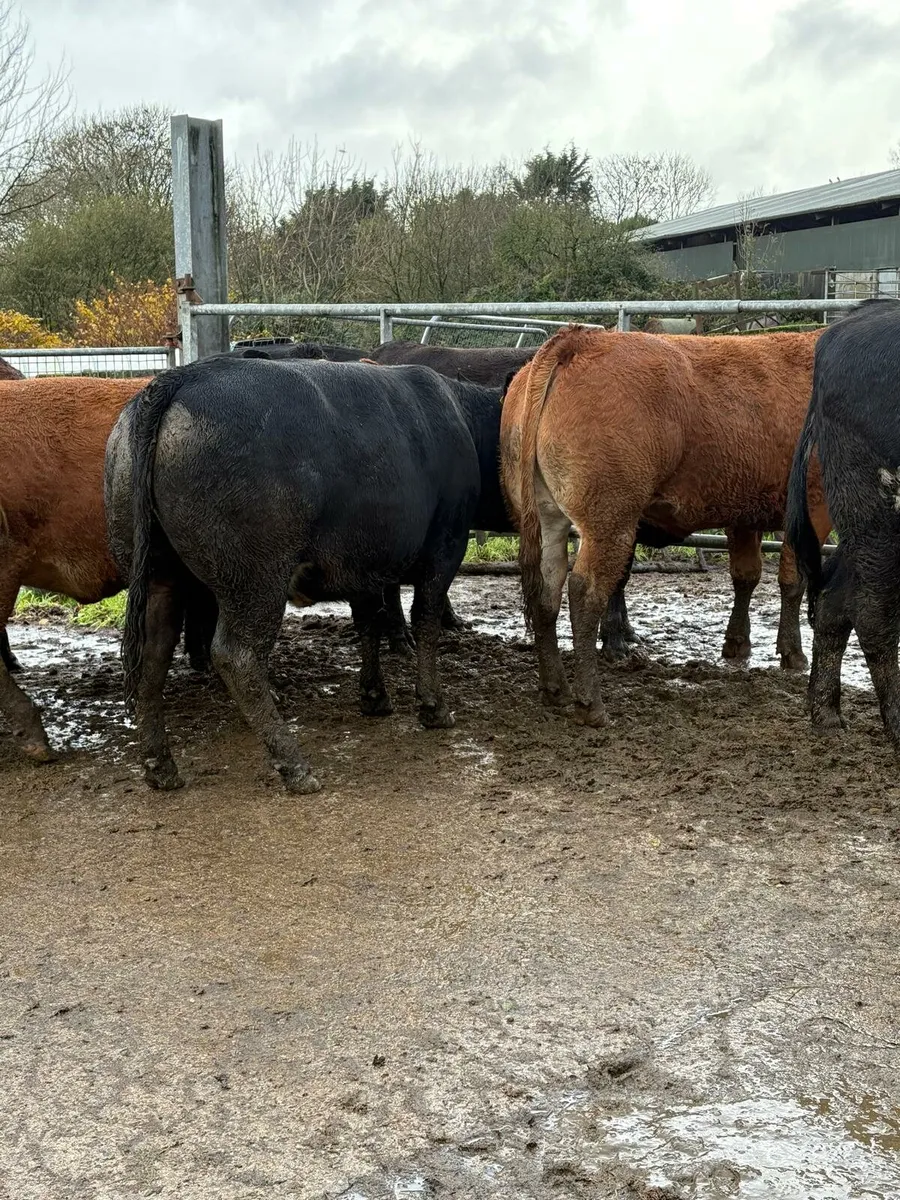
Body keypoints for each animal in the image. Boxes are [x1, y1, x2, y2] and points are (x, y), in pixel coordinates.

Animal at [104, 357, 511, 794]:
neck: (463, 416)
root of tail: (179, 377)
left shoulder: (364, 561)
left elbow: (368, 623)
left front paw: (374, 697)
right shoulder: (446, 544)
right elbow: (426, 620)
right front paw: (434, 706)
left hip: (158, 574)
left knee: (152, 656)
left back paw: (160, 766)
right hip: (255, 577)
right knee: (236, 656)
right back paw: (294, 764)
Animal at [500, 325, 831, 726]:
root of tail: (577, 340)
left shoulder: (744, 511)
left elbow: (746, 576)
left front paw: (737, 644)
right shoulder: (814, 504)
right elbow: (793, 580)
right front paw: (792, 653)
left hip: (547, 515)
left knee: (546, 589)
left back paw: (556, 689)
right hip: (610, 519)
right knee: (585, 592)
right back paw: (590, 703)